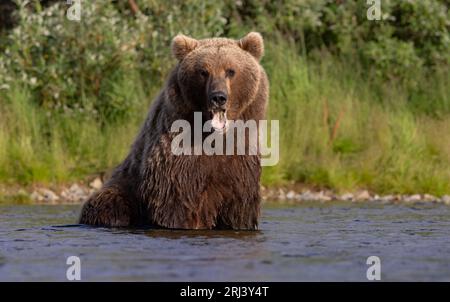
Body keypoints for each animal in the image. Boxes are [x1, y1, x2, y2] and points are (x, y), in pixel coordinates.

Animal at [78, 32, 268, 229]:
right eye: (203, 72)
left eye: (230, 71)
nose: (218, 97)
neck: (215, 137)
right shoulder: (178, 157)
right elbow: (177, 203)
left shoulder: (239, 163)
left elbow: (239, 207)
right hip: (122, 188)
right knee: (109, 205)